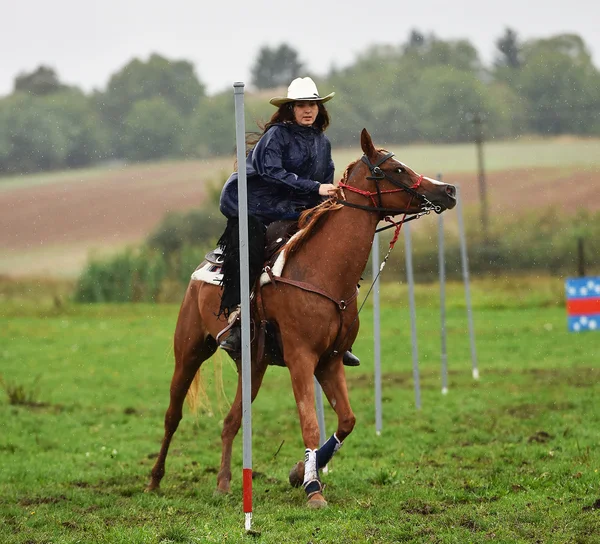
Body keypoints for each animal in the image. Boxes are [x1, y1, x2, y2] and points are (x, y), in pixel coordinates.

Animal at [148, 127, 458, 506]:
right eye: (395, 169)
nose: (448, 190)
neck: (322, 272)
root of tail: (200, 271)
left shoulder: (330, 361)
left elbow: (347, 420)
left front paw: (301, 471)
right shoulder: (301, 359)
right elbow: (310, 423)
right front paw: (313, 489)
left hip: (253, 367)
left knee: (231, 420)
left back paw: (223, 482)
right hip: (190, 351)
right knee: (172, 415)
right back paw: (154, 479)